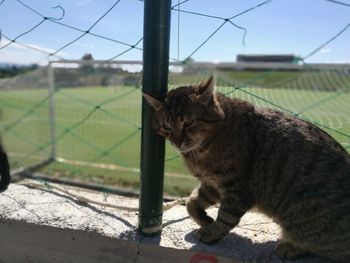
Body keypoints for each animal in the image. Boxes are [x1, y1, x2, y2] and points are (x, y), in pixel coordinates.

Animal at [143, 77, 350, 262]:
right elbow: (191, 203)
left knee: (325, 247)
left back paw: (292, 247)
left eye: (188, 123)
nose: (177, 142)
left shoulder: (236, 189)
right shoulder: (211, 184)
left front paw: (211, 232)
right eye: (167, 127)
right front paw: (205, 220)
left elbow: (226, 217)